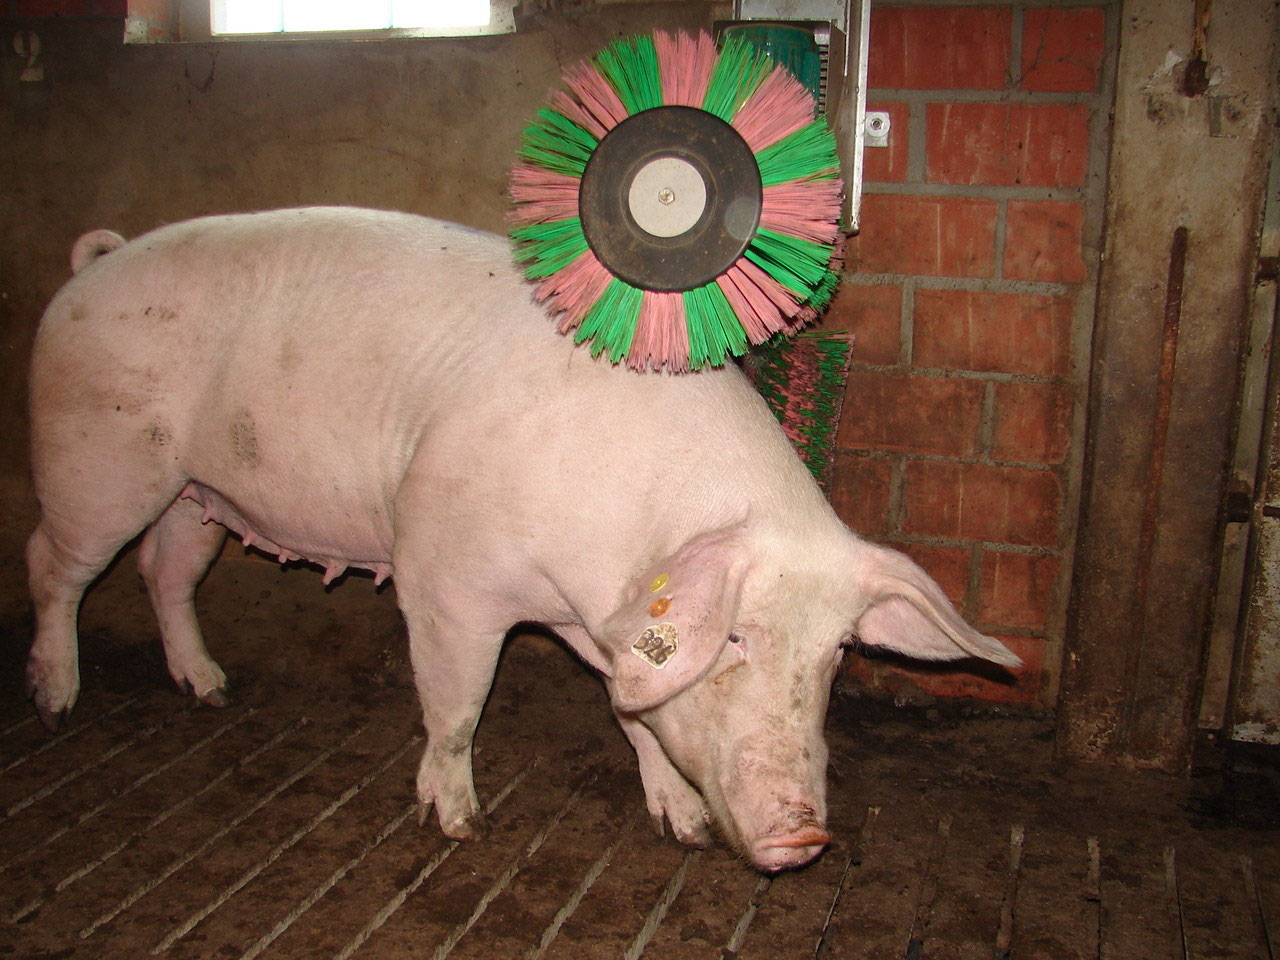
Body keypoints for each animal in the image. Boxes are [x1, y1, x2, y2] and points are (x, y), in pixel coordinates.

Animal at [25, 207, 1019, 872]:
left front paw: (684, 826)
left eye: (837, 655)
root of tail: (91, 269)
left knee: (165, 570)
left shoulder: (603, 624)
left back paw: (210, 689)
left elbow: (636, 714)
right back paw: (57, 700)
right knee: (54, 567)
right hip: (94, 458)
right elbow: (458, 707)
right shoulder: (444, 578)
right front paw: (462, 824)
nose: (806, 835)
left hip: (197, 493)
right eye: (735, 638)